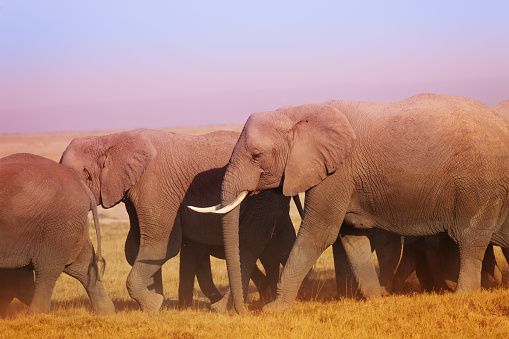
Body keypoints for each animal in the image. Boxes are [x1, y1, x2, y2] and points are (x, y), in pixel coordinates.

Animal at [0, 154, 113, 316]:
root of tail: (81, 184)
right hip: (70, 225)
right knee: (83, 265)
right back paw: (107, 312)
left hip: (57, 227)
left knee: (46, 271)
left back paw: (36, 315)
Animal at [190, 92, 509, 314]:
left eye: (256, 156)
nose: (244, 312)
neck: (298, 112)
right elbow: (351, 237)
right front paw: (377, 299)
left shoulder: (337, 175)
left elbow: (319, 234)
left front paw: (274, 310)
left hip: (479, 184)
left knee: (469, 239)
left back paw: (464, 294)